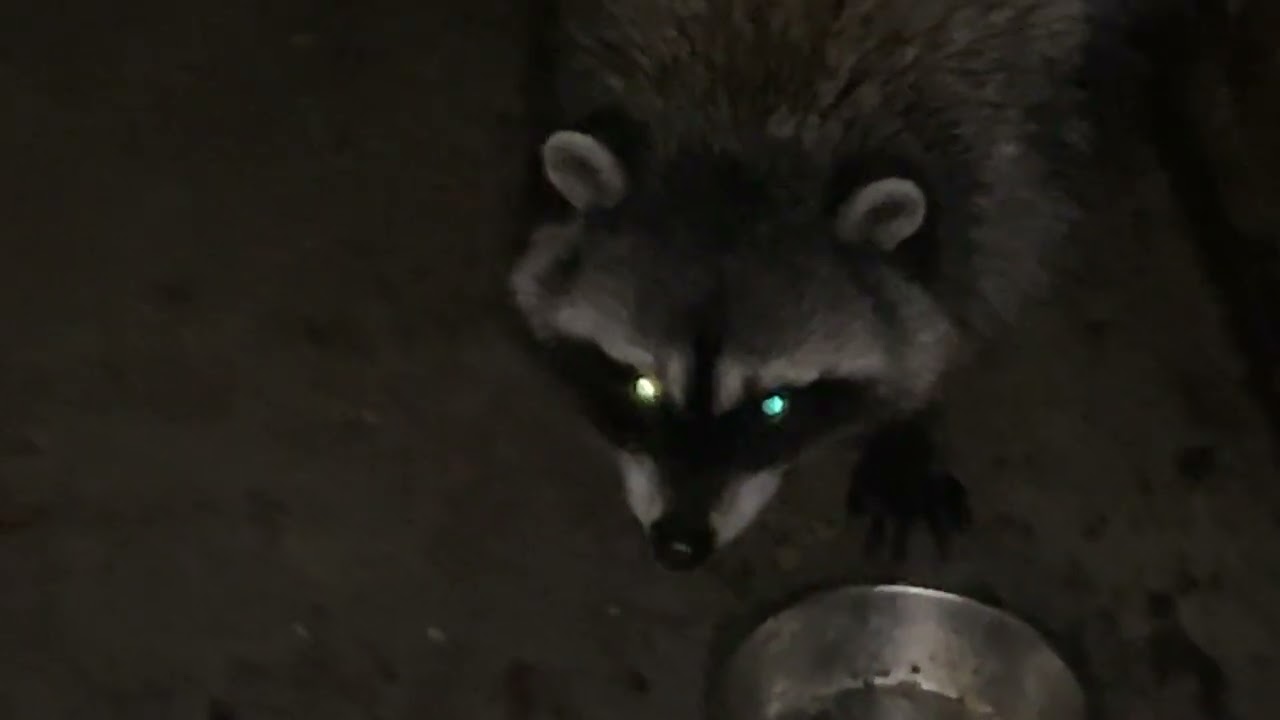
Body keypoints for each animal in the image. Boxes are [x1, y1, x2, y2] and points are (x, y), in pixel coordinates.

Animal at [509, 0, 1168, 570]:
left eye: (774, 405)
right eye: (642, 387)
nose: (679, 546)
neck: (749, 132)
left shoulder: (1003, 142)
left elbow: (987, 274)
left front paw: (915, 411)